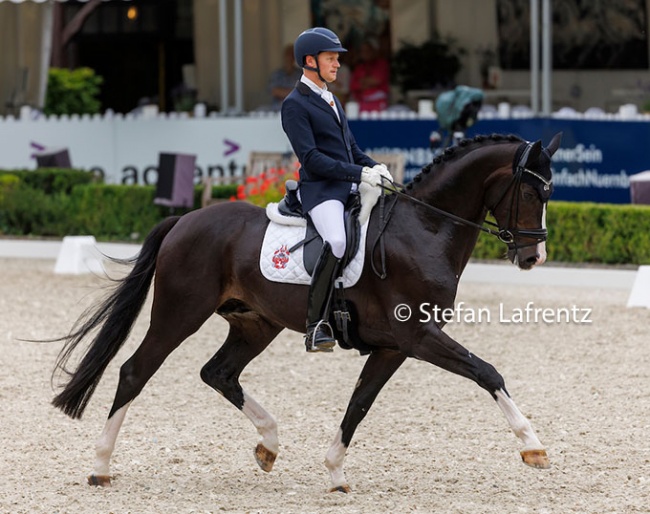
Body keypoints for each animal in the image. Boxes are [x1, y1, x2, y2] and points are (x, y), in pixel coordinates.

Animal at [50, 132, 560, 492]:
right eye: (531, 193)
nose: (533, 257)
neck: (424, 228)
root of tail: (185, 219)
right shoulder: (418, 336)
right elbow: (487, 371)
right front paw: (533, 446)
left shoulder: (395, 347)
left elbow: (359, 403)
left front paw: (335, 472)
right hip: (179, 315)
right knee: (135, 372)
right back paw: (100, 467)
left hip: (256, 324)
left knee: (219, 372)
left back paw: (268, 444)